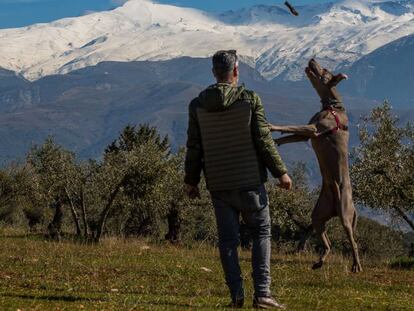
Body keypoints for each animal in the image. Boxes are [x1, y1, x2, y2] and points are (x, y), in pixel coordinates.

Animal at [270, 59, 360, 272]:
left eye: (324, 70)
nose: (312, 59)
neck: (333, 106)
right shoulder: (307, 134)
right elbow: (290, 135)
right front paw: (274, 141)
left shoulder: (314, 129)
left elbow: (289, 126)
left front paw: (270, 126)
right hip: (319, 214)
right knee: (327, 242)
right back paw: (320, 261)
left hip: (345, 215)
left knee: (353, 242)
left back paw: (356, 265)